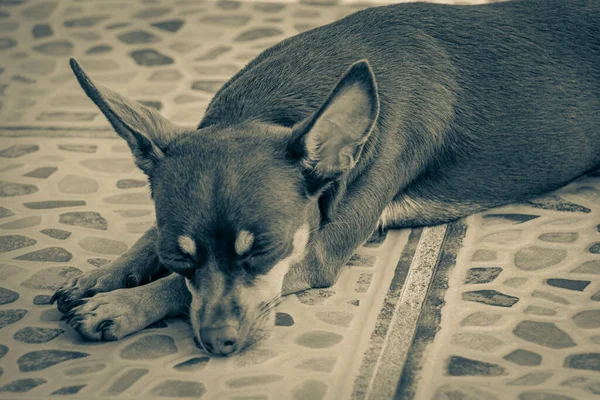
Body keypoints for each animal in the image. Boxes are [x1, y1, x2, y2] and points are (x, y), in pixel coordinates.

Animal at [52, 0, 600, 356]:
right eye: (177, 258)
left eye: (265, 252)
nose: (218, 344)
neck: (270, 108)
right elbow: (151, 242)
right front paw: (106, 274)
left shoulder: (315, 254)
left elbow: (177, 294)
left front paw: (120, 305)